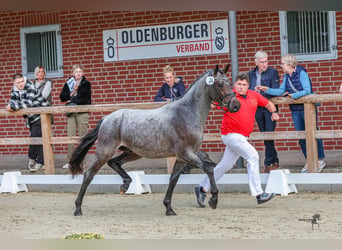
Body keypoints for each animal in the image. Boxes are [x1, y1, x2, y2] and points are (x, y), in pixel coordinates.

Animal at [69, 65, 240, 216]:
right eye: (219, 84)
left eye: (230, 83)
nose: (236, 105)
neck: (186, 113)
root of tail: (106, 118)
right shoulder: (186, 153)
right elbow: (209, 168)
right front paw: (213, 200)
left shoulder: (181, 158)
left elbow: (173, 179)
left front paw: (169, 208)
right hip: (104, 151)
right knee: (89, 174)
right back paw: (77, 209)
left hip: (133, 153)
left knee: (114, 163)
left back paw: (125, 184)